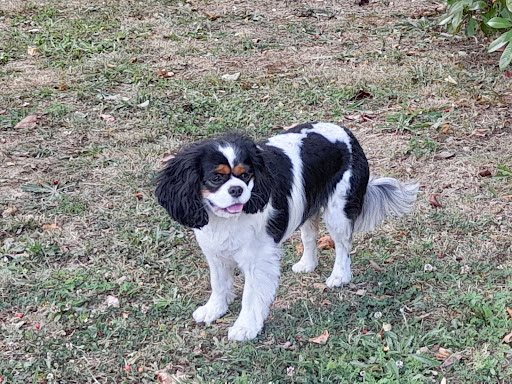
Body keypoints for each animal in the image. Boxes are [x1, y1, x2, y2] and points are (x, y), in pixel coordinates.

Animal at [154, 121, 418, 340]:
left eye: (245, 175)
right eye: (216, 178)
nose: (237, 190)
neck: (226, 219)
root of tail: (346, 132)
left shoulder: (258, 260)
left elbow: (251, 296)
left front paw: (245, 327)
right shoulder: (215, 252)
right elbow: (218, 284)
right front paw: (214, 310)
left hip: (338, 211)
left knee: (343, 246)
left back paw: (339, 276)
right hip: (307, 205)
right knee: (310, 236)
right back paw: (307, 264)